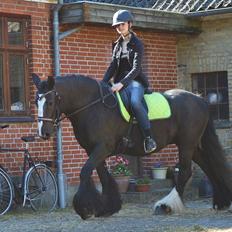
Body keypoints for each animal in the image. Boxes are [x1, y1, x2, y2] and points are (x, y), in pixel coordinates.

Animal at [32, 74, 232, 219]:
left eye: (50, 102)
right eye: (36, 102)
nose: (44, 133)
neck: (92, 106)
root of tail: (199, 99)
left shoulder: (102, 147)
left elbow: (85, 172)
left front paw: (85, 208)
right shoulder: (93, 150)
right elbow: (103, 177)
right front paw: (107, 208)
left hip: (186, 144)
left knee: (184, 172)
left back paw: (165, 206)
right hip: (193, 145)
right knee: (208, 166)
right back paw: (222, 201)